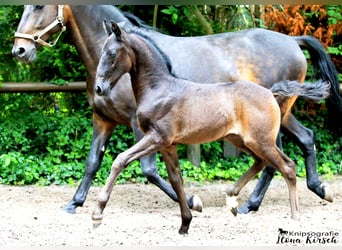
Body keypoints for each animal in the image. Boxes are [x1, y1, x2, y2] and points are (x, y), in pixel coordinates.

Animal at [92, 22, 330, 234]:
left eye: (111, 53)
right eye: (101, 51)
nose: (99, 88)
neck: (160, 89)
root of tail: (270, 92)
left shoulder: (156, 137)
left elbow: (120, 160)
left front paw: (97, 214)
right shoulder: (168, 145)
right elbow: (176, 180)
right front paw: (185, 223)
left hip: (261, 141)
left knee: (287, 167)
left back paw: (294, 218)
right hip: (242, 140)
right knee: (263, 162)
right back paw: (233, 201)